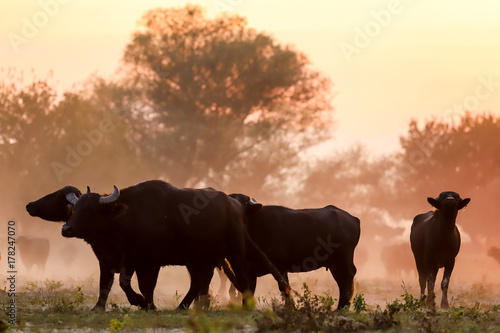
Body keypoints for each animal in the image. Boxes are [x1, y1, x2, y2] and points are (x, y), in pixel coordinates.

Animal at [61, 182, 292, 308]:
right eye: (74, 209)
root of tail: (235, 204)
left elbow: (144, 285)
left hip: (234, 251)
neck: (129, 216)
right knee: (199, 282)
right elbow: (115, 284)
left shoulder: (150, 261)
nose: (66, 229)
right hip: (201, 258)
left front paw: (146, 304)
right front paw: (138, 304)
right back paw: (183, 306)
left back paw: (244, 305)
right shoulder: (120, 259)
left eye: (89, 209)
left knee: (242, 277)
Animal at [227, 192, 360, 308]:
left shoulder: (280, 267)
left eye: (243, 203)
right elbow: (248, 290)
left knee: (347, 279)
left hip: (344, 260)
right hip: (334, 265)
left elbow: (284, 287)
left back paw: (342, 307)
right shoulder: (249, 270)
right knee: (342, 281)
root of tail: (354, 219)